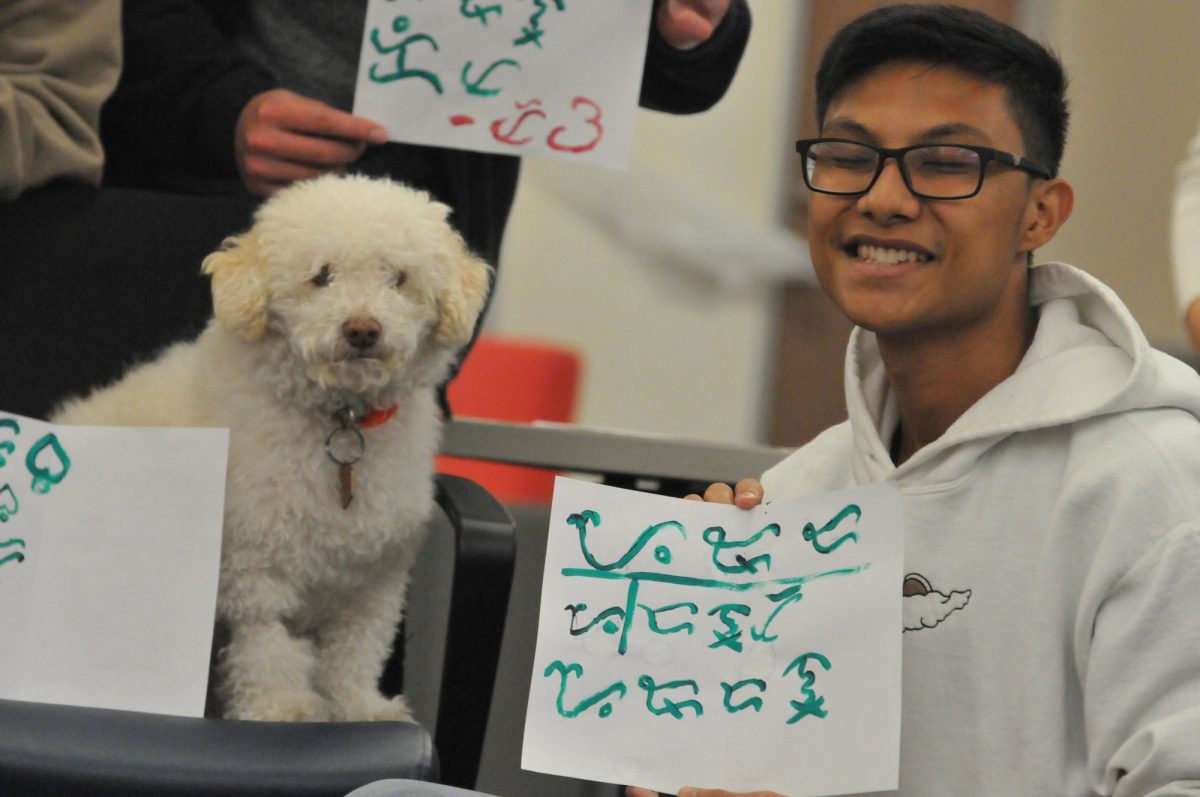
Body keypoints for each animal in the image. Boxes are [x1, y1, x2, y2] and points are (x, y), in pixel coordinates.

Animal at [51, 174, 492, 720]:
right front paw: (282, 706)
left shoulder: (375, 579)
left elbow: (357, 649)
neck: (339, 421)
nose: (362, 329)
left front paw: (359, 706)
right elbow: (267, 645)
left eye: (399, 278)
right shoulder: (254, 565)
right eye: (321, 275)